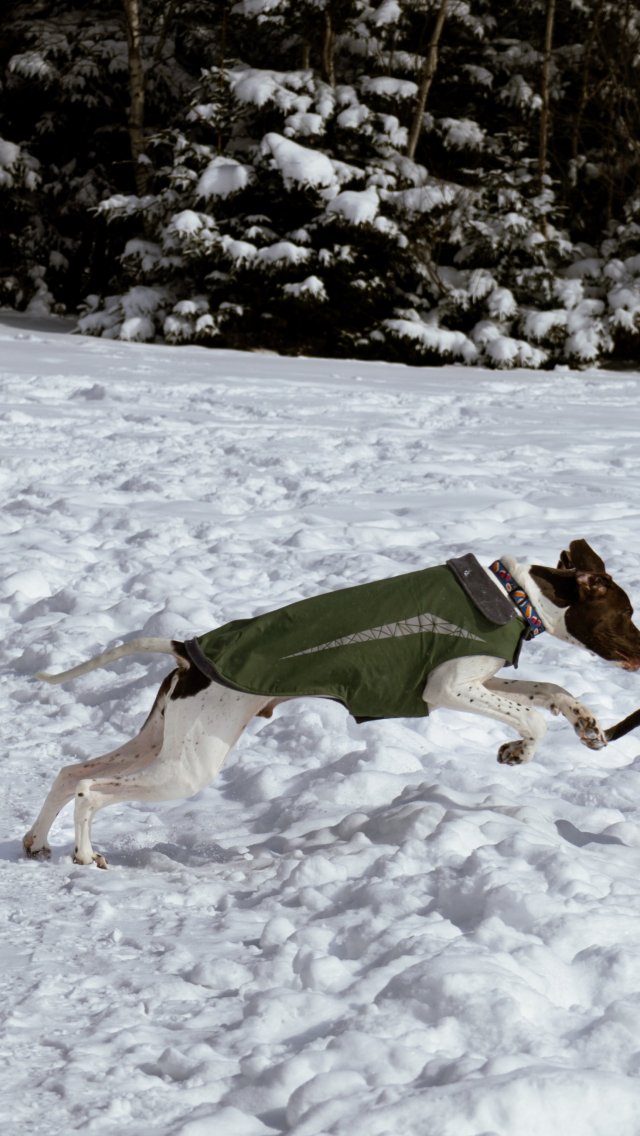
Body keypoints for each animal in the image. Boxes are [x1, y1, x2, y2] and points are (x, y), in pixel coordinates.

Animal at [23, 540, 640, 867]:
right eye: (627, 613)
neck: (514, 599)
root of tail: (186, 650)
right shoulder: (446, 688)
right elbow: (532, 715)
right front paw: (519, 749)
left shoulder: (482, 679)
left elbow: (550, 693)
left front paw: (587, 723)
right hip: (188, 766)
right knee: (91, 789)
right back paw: (85, 855)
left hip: (160, 742)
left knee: (70, 771)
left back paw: (36, 841)